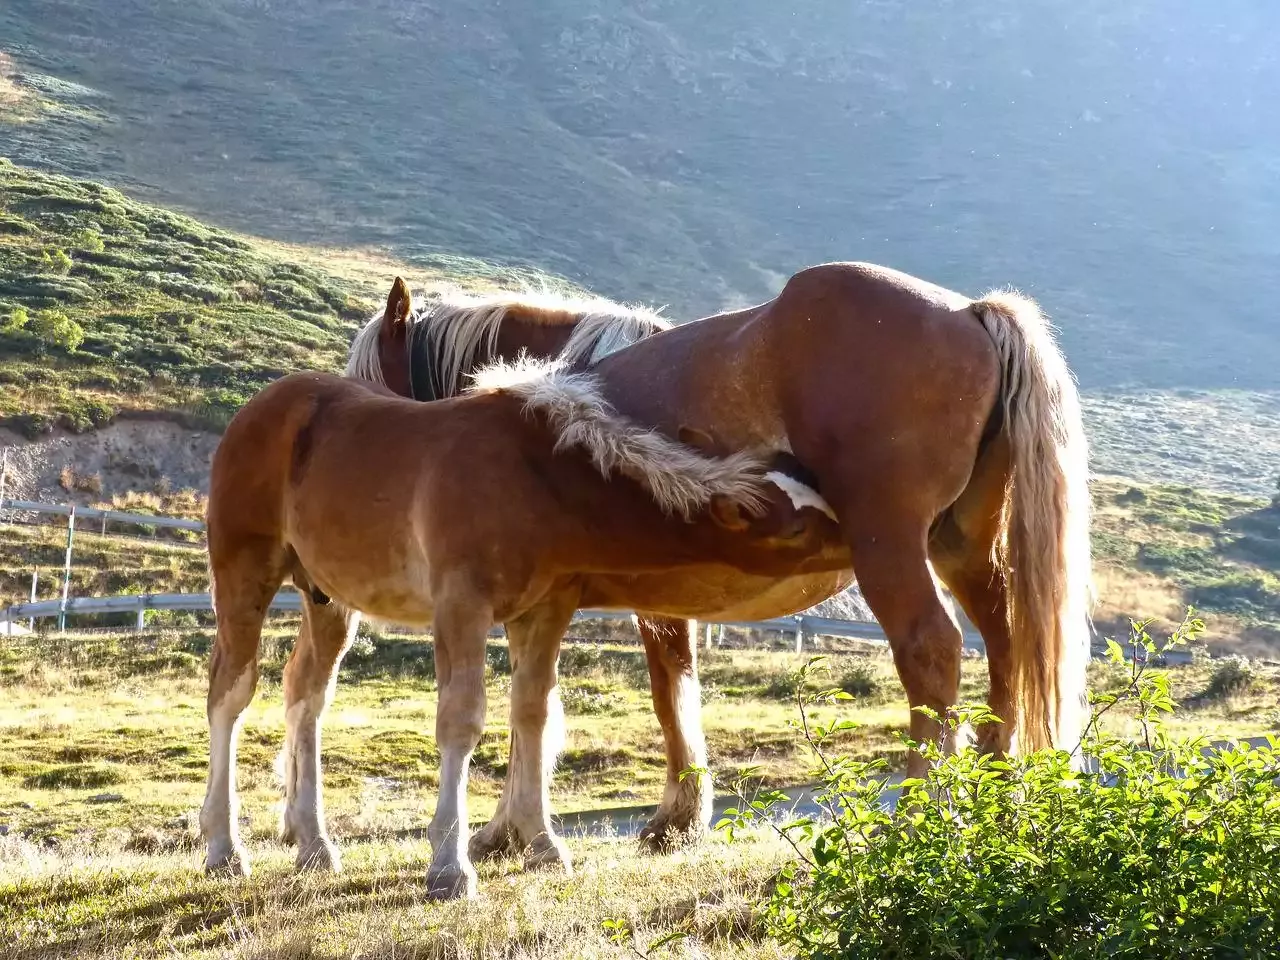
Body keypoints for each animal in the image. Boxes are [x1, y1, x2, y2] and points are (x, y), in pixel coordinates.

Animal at [202, 353, 839, 901]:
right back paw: (223, 849)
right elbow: (462, 722)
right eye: (797, 529)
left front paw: (542, 845)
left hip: (328, 597)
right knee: (230, 692)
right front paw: (449, 868)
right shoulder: (461, 606)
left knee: (306, 694)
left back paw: (314, 846)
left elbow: (532, 714)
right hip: (244, 571)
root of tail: (257, 409)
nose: (854, 542)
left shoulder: (546, 610)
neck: (534, 481)